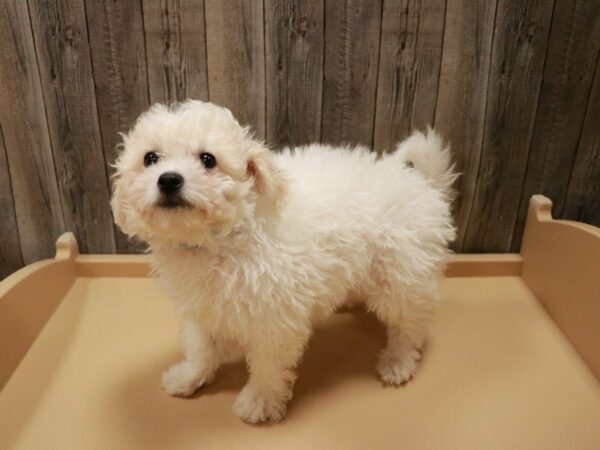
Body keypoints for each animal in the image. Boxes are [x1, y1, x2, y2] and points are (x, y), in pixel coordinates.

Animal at [111, 100, 454, 424]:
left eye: (208, 159)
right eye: (150, 158)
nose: (169, 179)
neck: (219, 239)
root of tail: (422, 181)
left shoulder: (275, 319)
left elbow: (268, 364)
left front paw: (260, 400)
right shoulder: (201, 306)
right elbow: (200, 346)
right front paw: (189, 377)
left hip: (401, 277)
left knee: (410, 326)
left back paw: (398, 361)